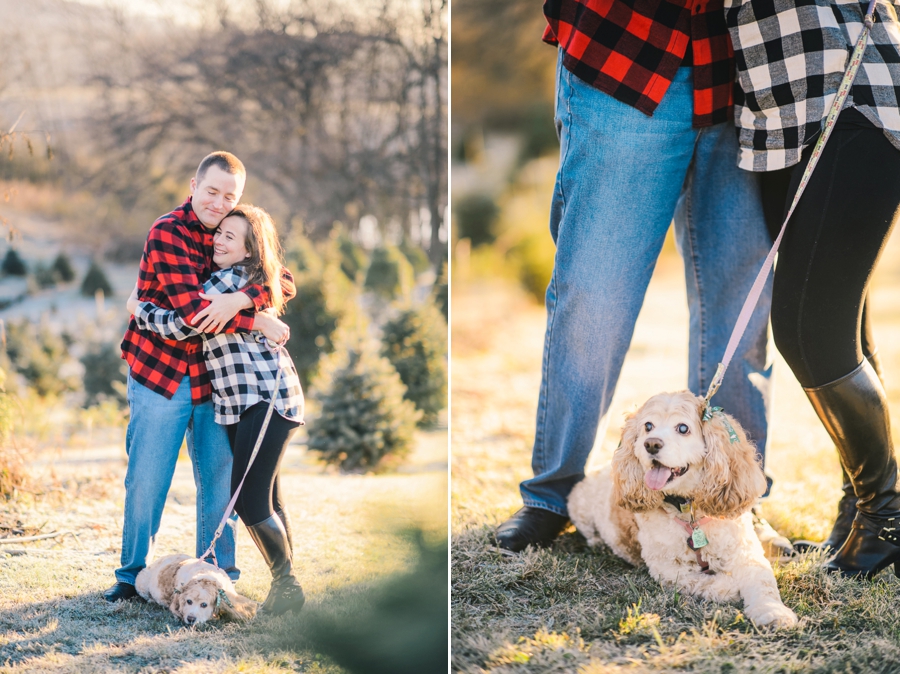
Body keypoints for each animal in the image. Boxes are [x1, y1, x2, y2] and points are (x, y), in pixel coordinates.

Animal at [568, 392, 796, 628]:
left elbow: (763, 581)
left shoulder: (746, 552)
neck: (689, 511)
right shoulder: (669, 569)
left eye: (683, 428)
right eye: (648, 426)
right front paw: (732, 585)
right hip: (579, 506)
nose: (651, 444)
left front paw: (773, 612)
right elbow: (711, 583)